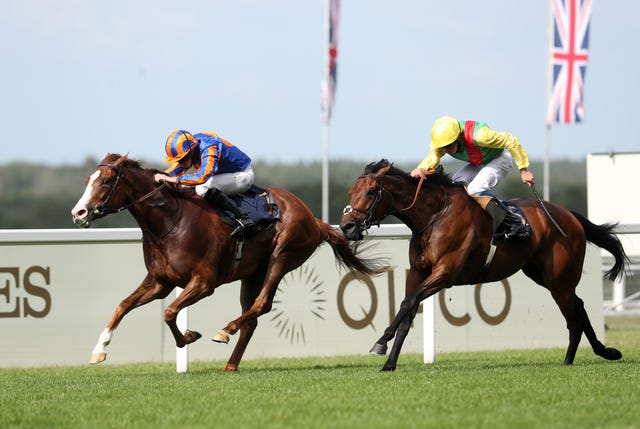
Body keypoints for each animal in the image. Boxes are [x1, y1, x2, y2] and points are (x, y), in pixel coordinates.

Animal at [70, 154, 384, 372]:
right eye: (87, 181)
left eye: (106, 181)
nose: (78, 212)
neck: (171, 221)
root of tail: (314, 219)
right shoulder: (159, 282)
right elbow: (123, 305)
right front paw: (99, 350)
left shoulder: (203, 282)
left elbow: (170, 312)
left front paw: (188, 336)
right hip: (252, 274)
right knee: (252, 317)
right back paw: (231, 364)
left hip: (282, 257)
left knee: (262, 304)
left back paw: (225, 330)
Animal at [340, 159, 632, 370]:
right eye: (351, 192)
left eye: (370, 192)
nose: (347, 227)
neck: (434, 216)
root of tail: (568, 214)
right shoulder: (418, 273)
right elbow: (408, 310)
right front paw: (389, 363)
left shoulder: (445, 273)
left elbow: (407, 303)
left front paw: (380, 343)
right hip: (542, 275)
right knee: (579, 306)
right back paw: (601, 352)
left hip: (559, 279)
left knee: (573, 313)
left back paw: (573, 359)